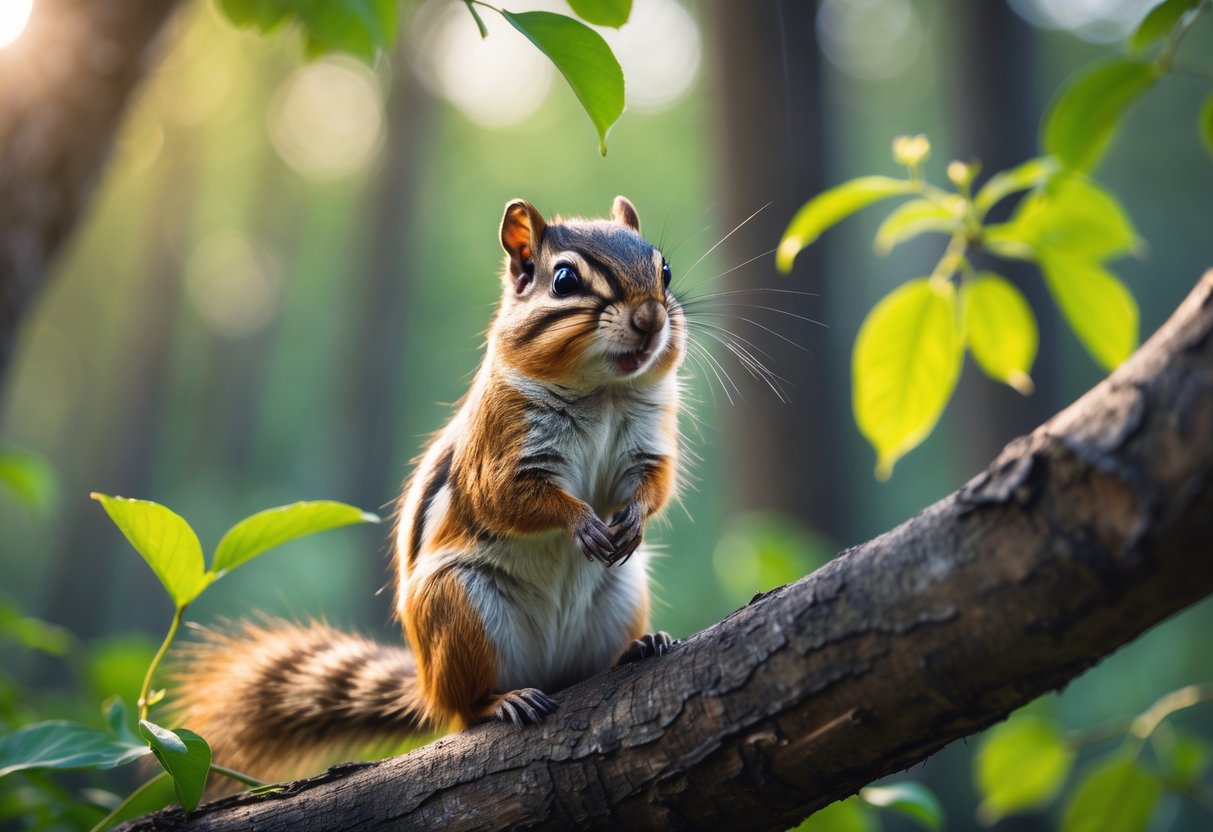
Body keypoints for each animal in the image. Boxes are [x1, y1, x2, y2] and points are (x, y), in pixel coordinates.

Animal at [172, 196, 686, 780]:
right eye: (564, 280)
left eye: (665, 270)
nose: (650, 319)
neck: (603, 391)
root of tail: (428, 686)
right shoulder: (498, 454)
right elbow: (508, 499)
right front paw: (580, 521)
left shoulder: (648, 443)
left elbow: (655, 483)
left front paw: (633, 519)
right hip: (458, 609)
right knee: (466, 707)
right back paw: (503, 700)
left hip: (620, 596)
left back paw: (638, 647)